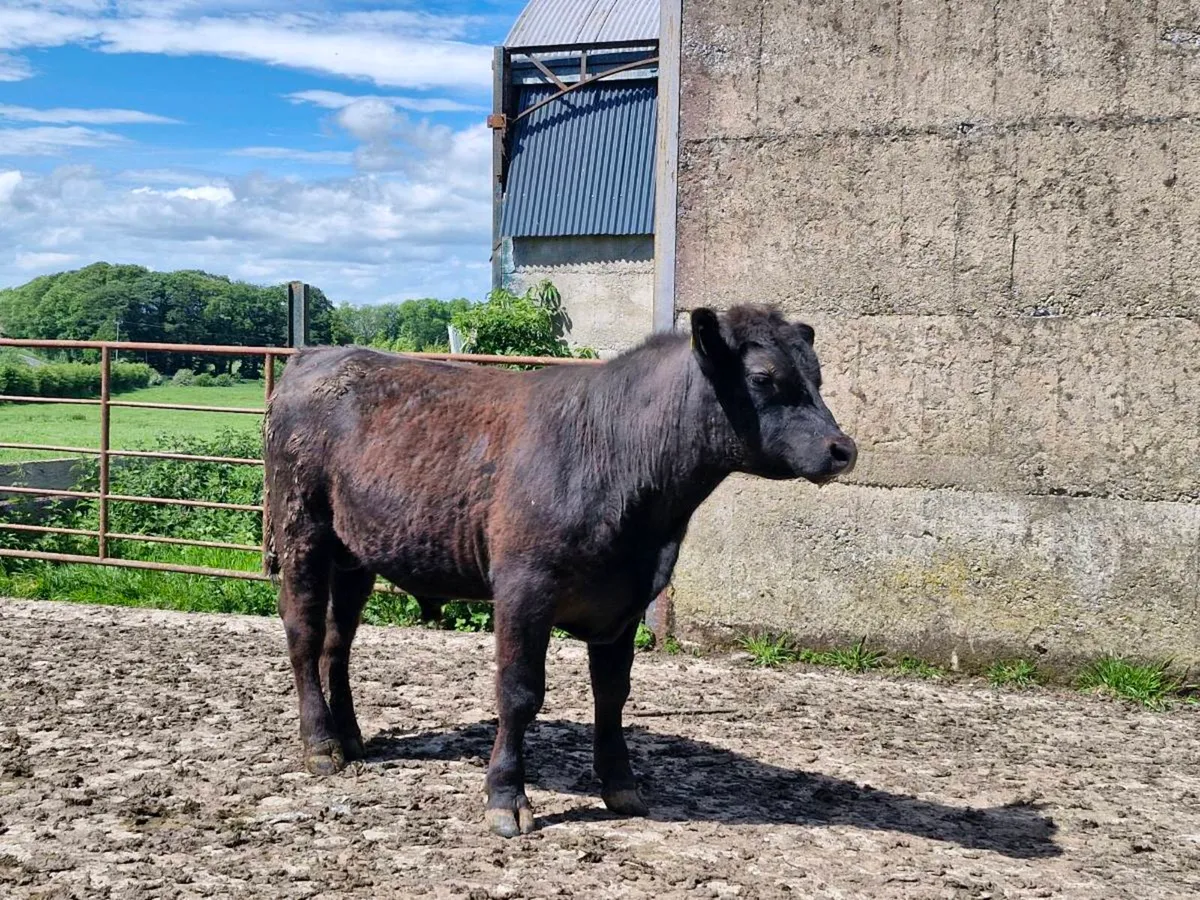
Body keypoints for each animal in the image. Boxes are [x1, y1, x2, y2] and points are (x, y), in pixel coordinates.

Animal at [262, 304, 857, 837]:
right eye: (763, 377)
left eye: (817, 374)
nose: (842, 449)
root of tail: (317, 356)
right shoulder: (523, 589)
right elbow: (519, 692)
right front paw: (506, 798)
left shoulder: (626, 601)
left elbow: (613, 692)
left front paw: (621, 784)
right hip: (301, 529)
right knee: (303, 631)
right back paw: (321, 745)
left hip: (355, 553)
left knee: (338, 641)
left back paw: (351, 737)